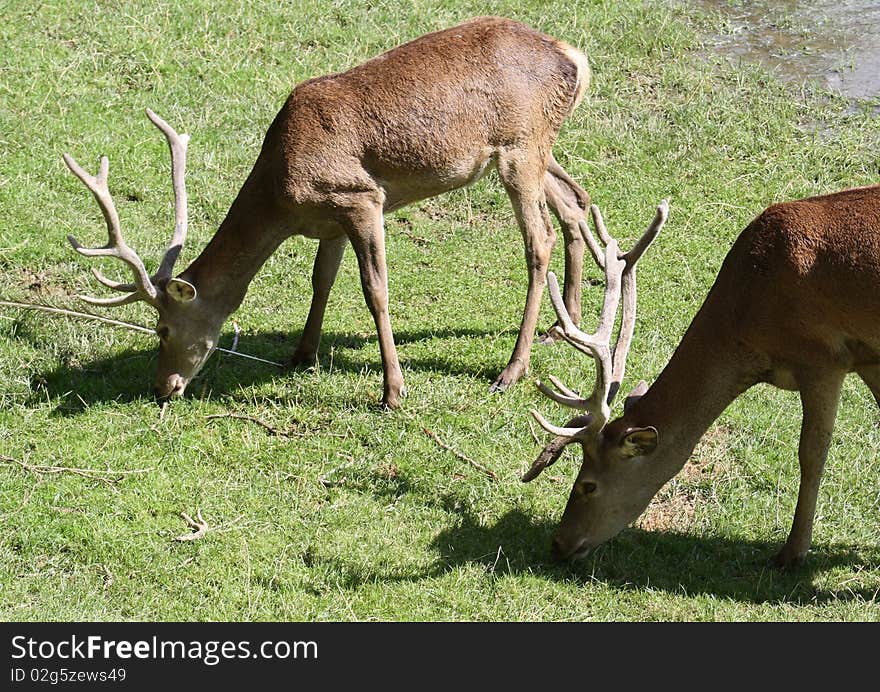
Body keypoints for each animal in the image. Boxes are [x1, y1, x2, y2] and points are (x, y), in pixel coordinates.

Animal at [65, 16, 596, 408]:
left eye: (163, 328)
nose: (163, 387)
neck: (283, 196)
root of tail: (573, 57)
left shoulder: (361, 197)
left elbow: (375, 290)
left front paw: (393, 392)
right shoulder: (331, 221)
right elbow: (321, 280)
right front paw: (302, 354)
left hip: (519, 148)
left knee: (539, 241)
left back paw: (512, 369)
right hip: (537, 149)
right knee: (575, 200)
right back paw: (563, 325)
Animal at [524, 184, 880, 568]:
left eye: (588, 484)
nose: (559, 543)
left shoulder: (823, 357)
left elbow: (811, 453)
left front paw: (792, 552)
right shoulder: (867, 358)